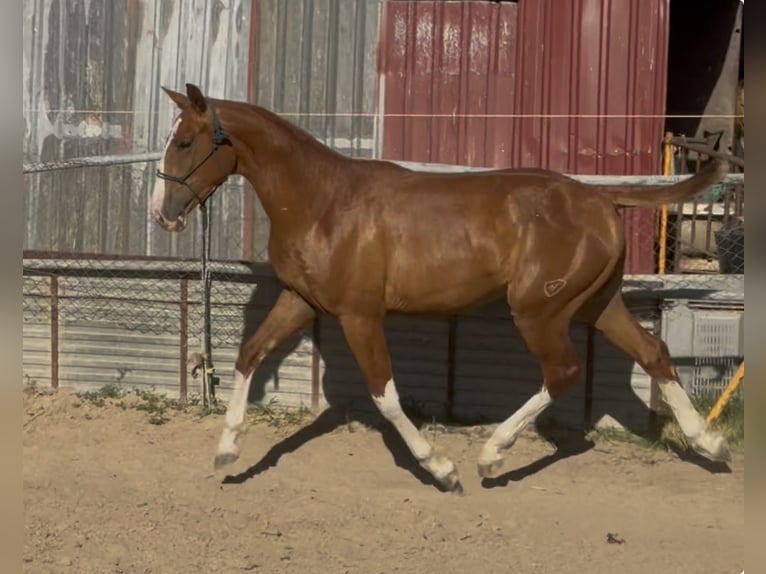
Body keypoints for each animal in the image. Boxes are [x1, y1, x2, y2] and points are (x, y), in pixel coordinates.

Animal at [151, 83, 731, 493]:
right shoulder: (302, 300)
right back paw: (710, 444)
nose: (164, 215)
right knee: (653, 351)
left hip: (539, 310)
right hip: (596, 303)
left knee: (564, 372)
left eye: (184, 142)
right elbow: (250, 353)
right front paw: (227, 452)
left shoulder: (360, 315)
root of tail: (600, 200)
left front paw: (441, 468)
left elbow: (384, 395)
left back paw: (491, 456)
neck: (323, 202)